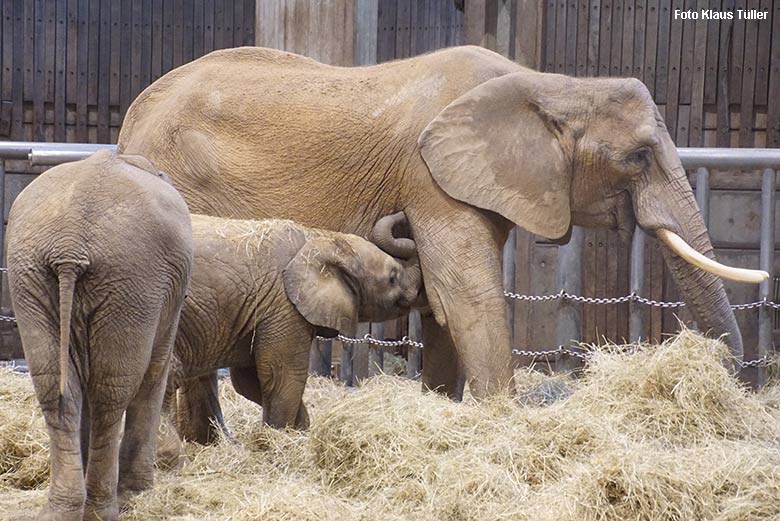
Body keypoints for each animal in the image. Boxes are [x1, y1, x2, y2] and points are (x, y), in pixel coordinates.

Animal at [8, 147, 195, 520]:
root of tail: (70, 244)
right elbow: (156, 370)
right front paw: (139, 493)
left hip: (33, 276)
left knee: (56, 387)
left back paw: (62, 510)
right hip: (133, 280)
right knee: (112, 392)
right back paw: (104, 508)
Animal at [119, 44, 764, 398]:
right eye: (638, 157)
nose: (726, 379)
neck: (550, 85)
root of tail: (131, 120)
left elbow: (441, 303)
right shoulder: (428, 178)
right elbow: (467, 294)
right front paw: (503, 419)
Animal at [165, 211, 420, 438]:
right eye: (393, 278)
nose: (403, 216)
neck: (321, 237)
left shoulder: (260, 313)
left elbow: (249, 380)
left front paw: (299, 431)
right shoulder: (284, 305)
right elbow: (282, 377)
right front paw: (281, 440)